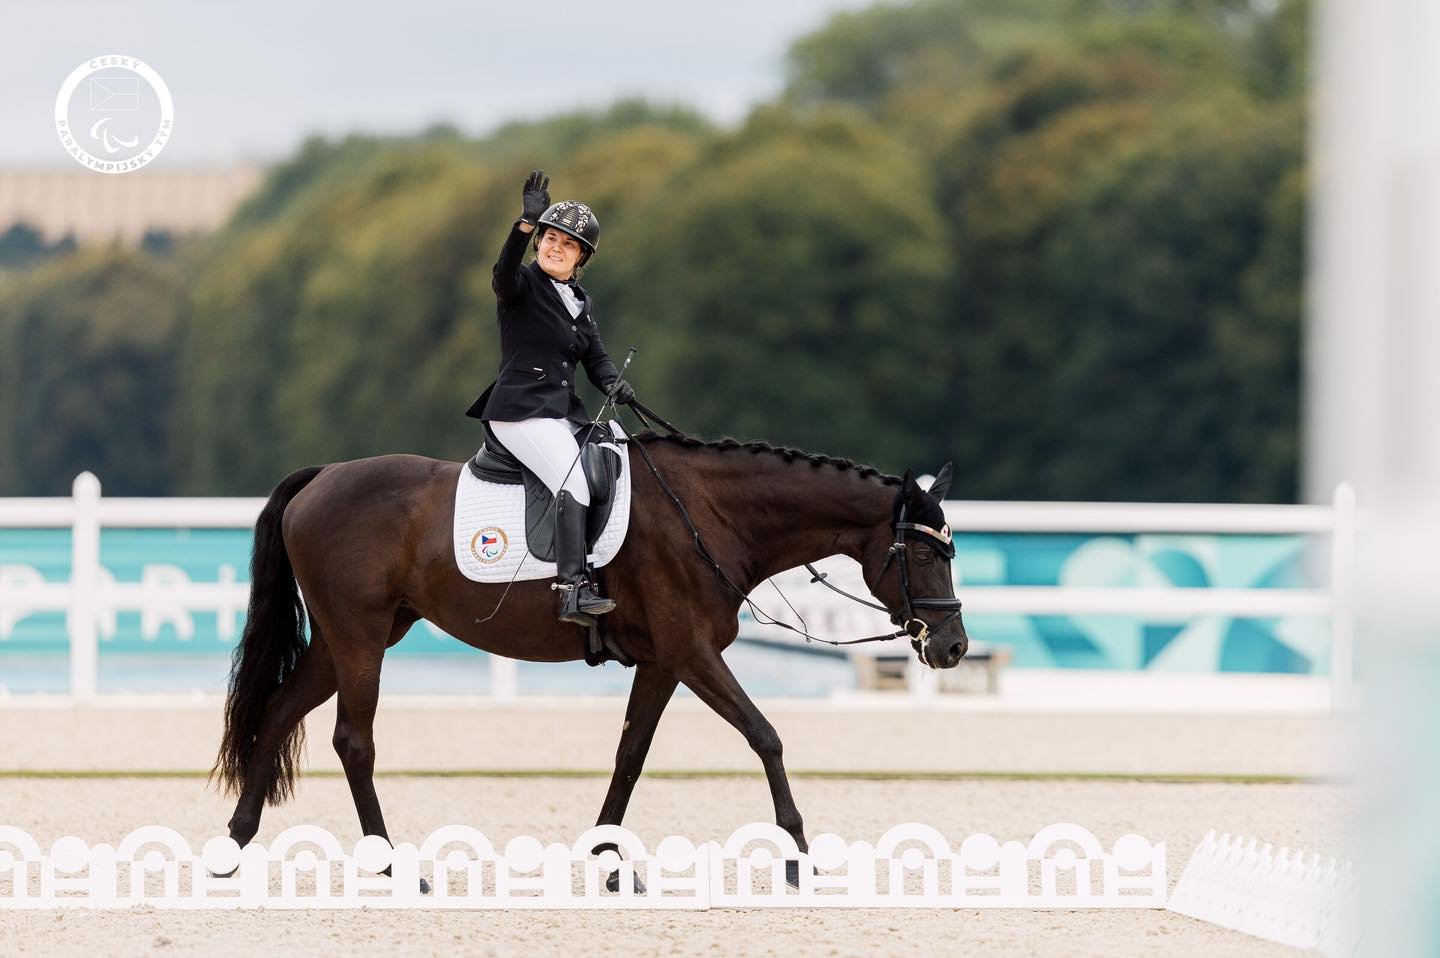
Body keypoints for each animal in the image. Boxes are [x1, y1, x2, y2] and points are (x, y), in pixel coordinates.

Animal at [208, 429, 967, 870]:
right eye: (925, 555)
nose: (955, 646)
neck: (709, 513)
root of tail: (323, 475)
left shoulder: (663, 661)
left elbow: (631, 754)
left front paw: (606, 857)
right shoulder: (692, 652)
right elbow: (766, 735)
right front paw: (796, 850)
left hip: (350, 639)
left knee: (279, 714)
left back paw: (234, 844)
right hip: (361, 637)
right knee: (353, 741)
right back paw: (392, 866)